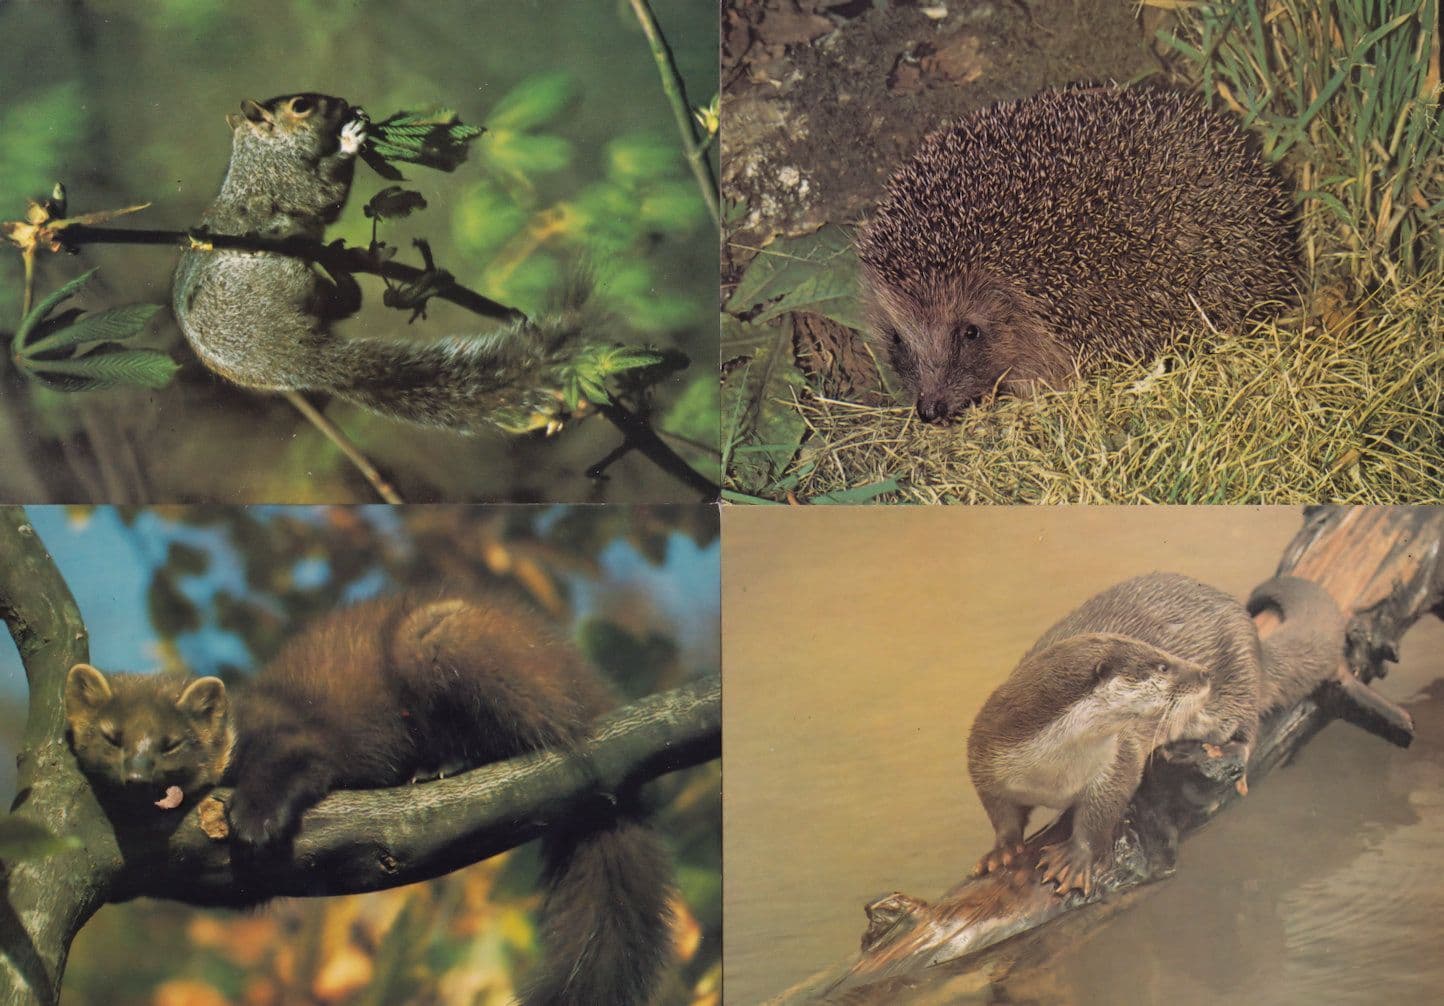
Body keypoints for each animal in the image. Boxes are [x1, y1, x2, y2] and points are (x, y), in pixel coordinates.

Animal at [64, 592, 674, 1006]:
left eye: (172, 743)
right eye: (111, 736)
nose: (138, 775)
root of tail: (588, 684)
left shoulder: (294, 736)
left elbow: (290, 768)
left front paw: (255, 820)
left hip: (441, 645)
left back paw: (440, 765)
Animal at [172, 93, 585, 435]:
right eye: (301, 105)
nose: (345, 103)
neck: (262, 155)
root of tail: (283, 353)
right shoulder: (287, 181)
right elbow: (323, 195)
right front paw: (351, 139)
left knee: (347, 301)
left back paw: (341, 265)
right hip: (269, 280)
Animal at [967, 572, 1345, 896]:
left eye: (1166, 652)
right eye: (1163, 664)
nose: (1204, 672)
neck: (1053, 771)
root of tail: (1256, 643)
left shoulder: (1119, 761)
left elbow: (1100, 814)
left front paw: (1075, 859)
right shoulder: (984, 756)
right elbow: (1000, 811)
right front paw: (1001, 850)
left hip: (1240, 681)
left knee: (1249, 722)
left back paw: (1230, 752)